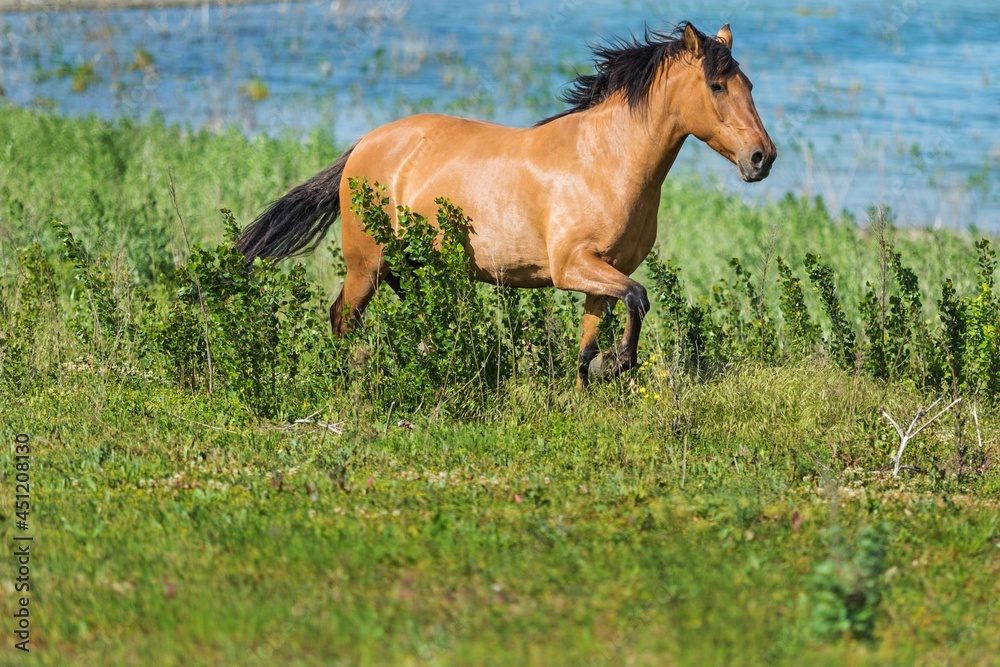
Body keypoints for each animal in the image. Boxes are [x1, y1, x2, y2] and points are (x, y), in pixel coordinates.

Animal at [234, 23, 772, 388]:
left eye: (749, 85)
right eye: (717, 86)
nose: (761, 158)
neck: (603, 160)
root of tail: (362, 147)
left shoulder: (603, 273)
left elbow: (589, 345)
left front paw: (594, 383)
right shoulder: (572, 266)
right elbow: (638, 298)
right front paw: (616, 365)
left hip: (415, 267)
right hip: (366, 263)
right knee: (342, 319)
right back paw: (351, 380)